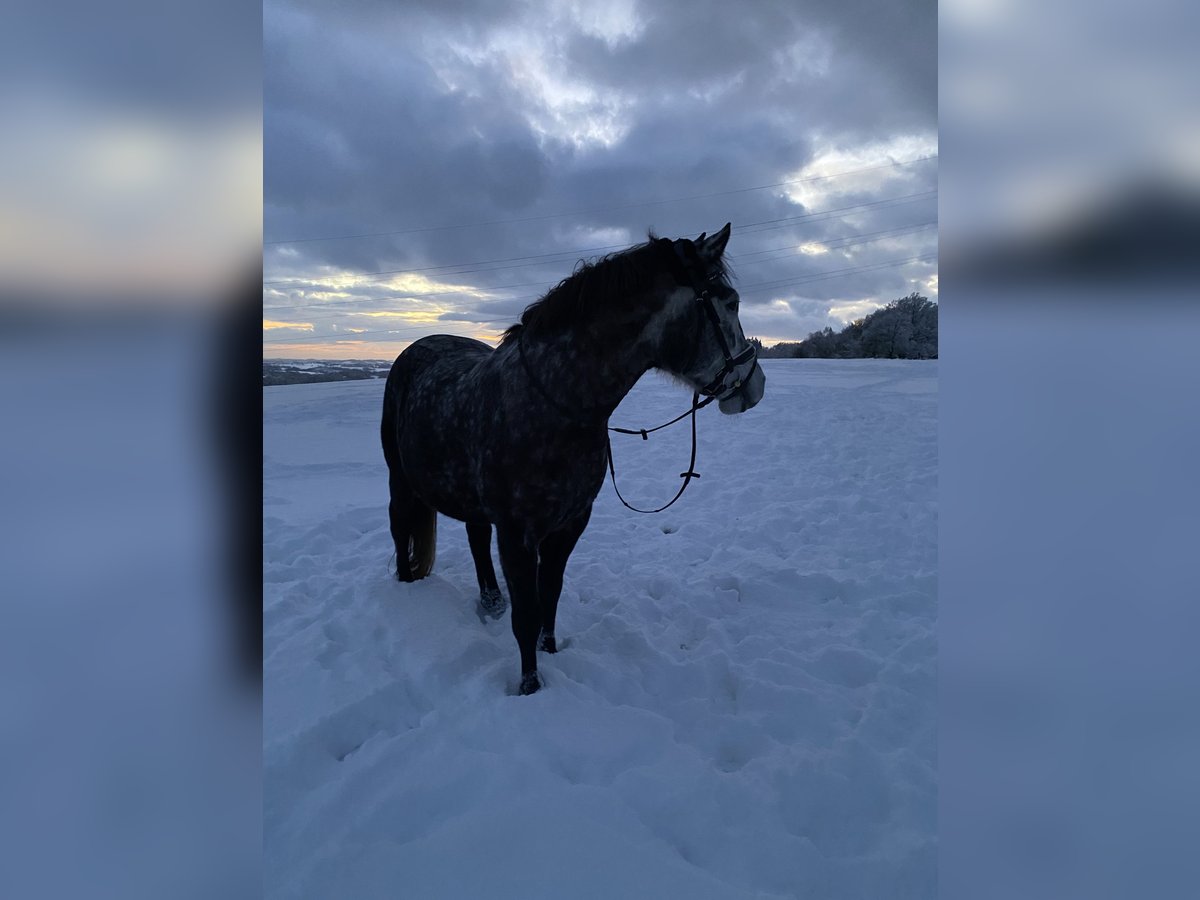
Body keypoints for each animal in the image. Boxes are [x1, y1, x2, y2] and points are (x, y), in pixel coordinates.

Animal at [380, 223, 765, 695]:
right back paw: (407, 588)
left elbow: (550, 596)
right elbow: (527, 615)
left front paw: (550, 653)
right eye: (731, 302)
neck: (554, 404)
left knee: (475, 537)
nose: (755, 385)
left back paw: (490, 600)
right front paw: (530, 686)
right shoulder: (517, 534)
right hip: (400, 478)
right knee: (400, 527)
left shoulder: (571, 523)